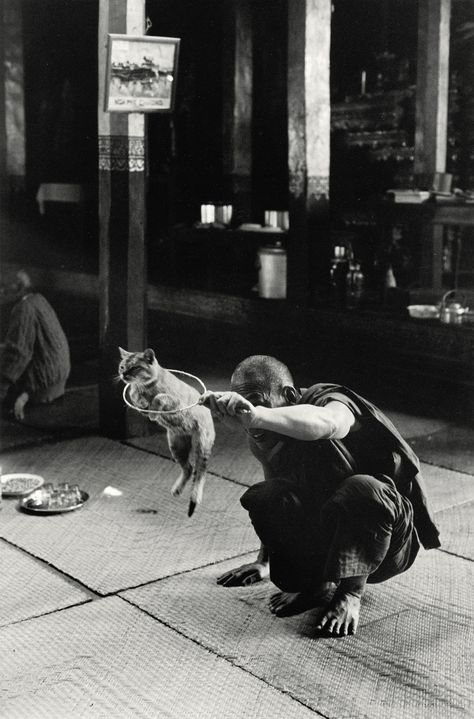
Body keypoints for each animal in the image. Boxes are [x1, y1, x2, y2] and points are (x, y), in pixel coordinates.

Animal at [117, 346, 216, 516]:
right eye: (122, 367)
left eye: (135, 367)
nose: (123, 374)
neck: (145, 386)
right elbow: (133, 394)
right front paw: (140, 400)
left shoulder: (176, 402)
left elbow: (159, 397)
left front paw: (151, 408)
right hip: (176, 446)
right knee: (188, 468)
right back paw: (177, 489)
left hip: (201, 447)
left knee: (200, 472)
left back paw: (196, 496)